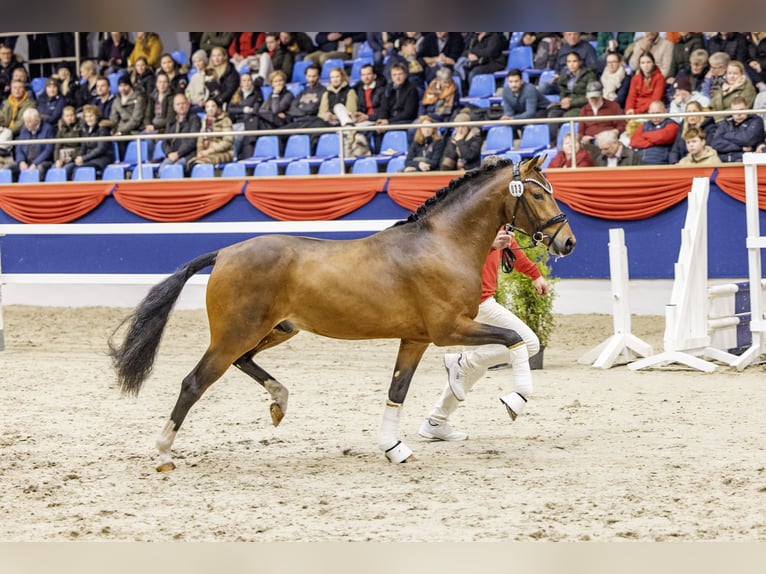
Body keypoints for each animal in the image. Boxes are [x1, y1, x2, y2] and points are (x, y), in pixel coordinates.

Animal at [109, 155, 576, 471]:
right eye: (537, 193)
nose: (567, 242)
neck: (441, 244)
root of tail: (224, 252)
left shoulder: (417, 338)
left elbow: (397, 391)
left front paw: (395, 449)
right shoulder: (449, 329)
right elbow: (514, 340)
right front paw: (515, 400)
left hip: (276, 329)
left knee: (245, 362)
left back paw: (279, 401)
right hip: (234, 333)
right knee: (194, 382)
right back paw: (164, 452)